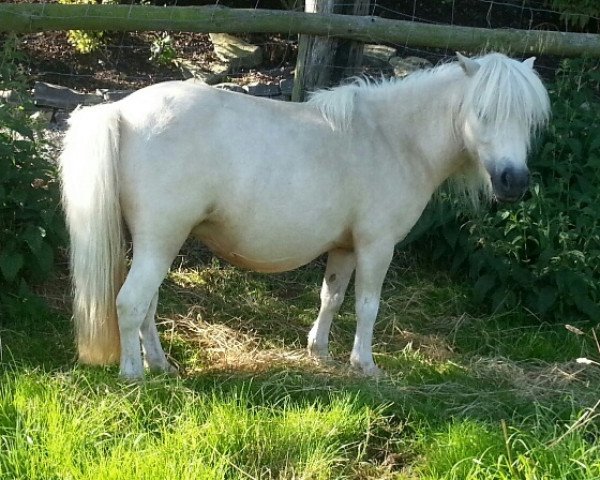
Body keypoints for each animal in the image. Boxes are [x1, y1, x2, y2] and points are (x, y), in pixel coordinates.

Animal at [58, 52, 552, 378]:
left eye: (529, 120)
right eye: (482, 112)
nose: (513, 181)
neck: (392, 139)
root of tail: (122, 110)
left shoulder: (346, 248)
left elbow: (330, 298)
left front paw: (320, 353)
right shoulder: (376, 246)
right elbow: (367, 306)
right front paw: (365, 365)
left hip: (155, 243)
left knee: (147, 305)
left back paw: (161, 365)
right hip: (161, 241)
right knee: (131, 302)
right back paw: (134, 374)